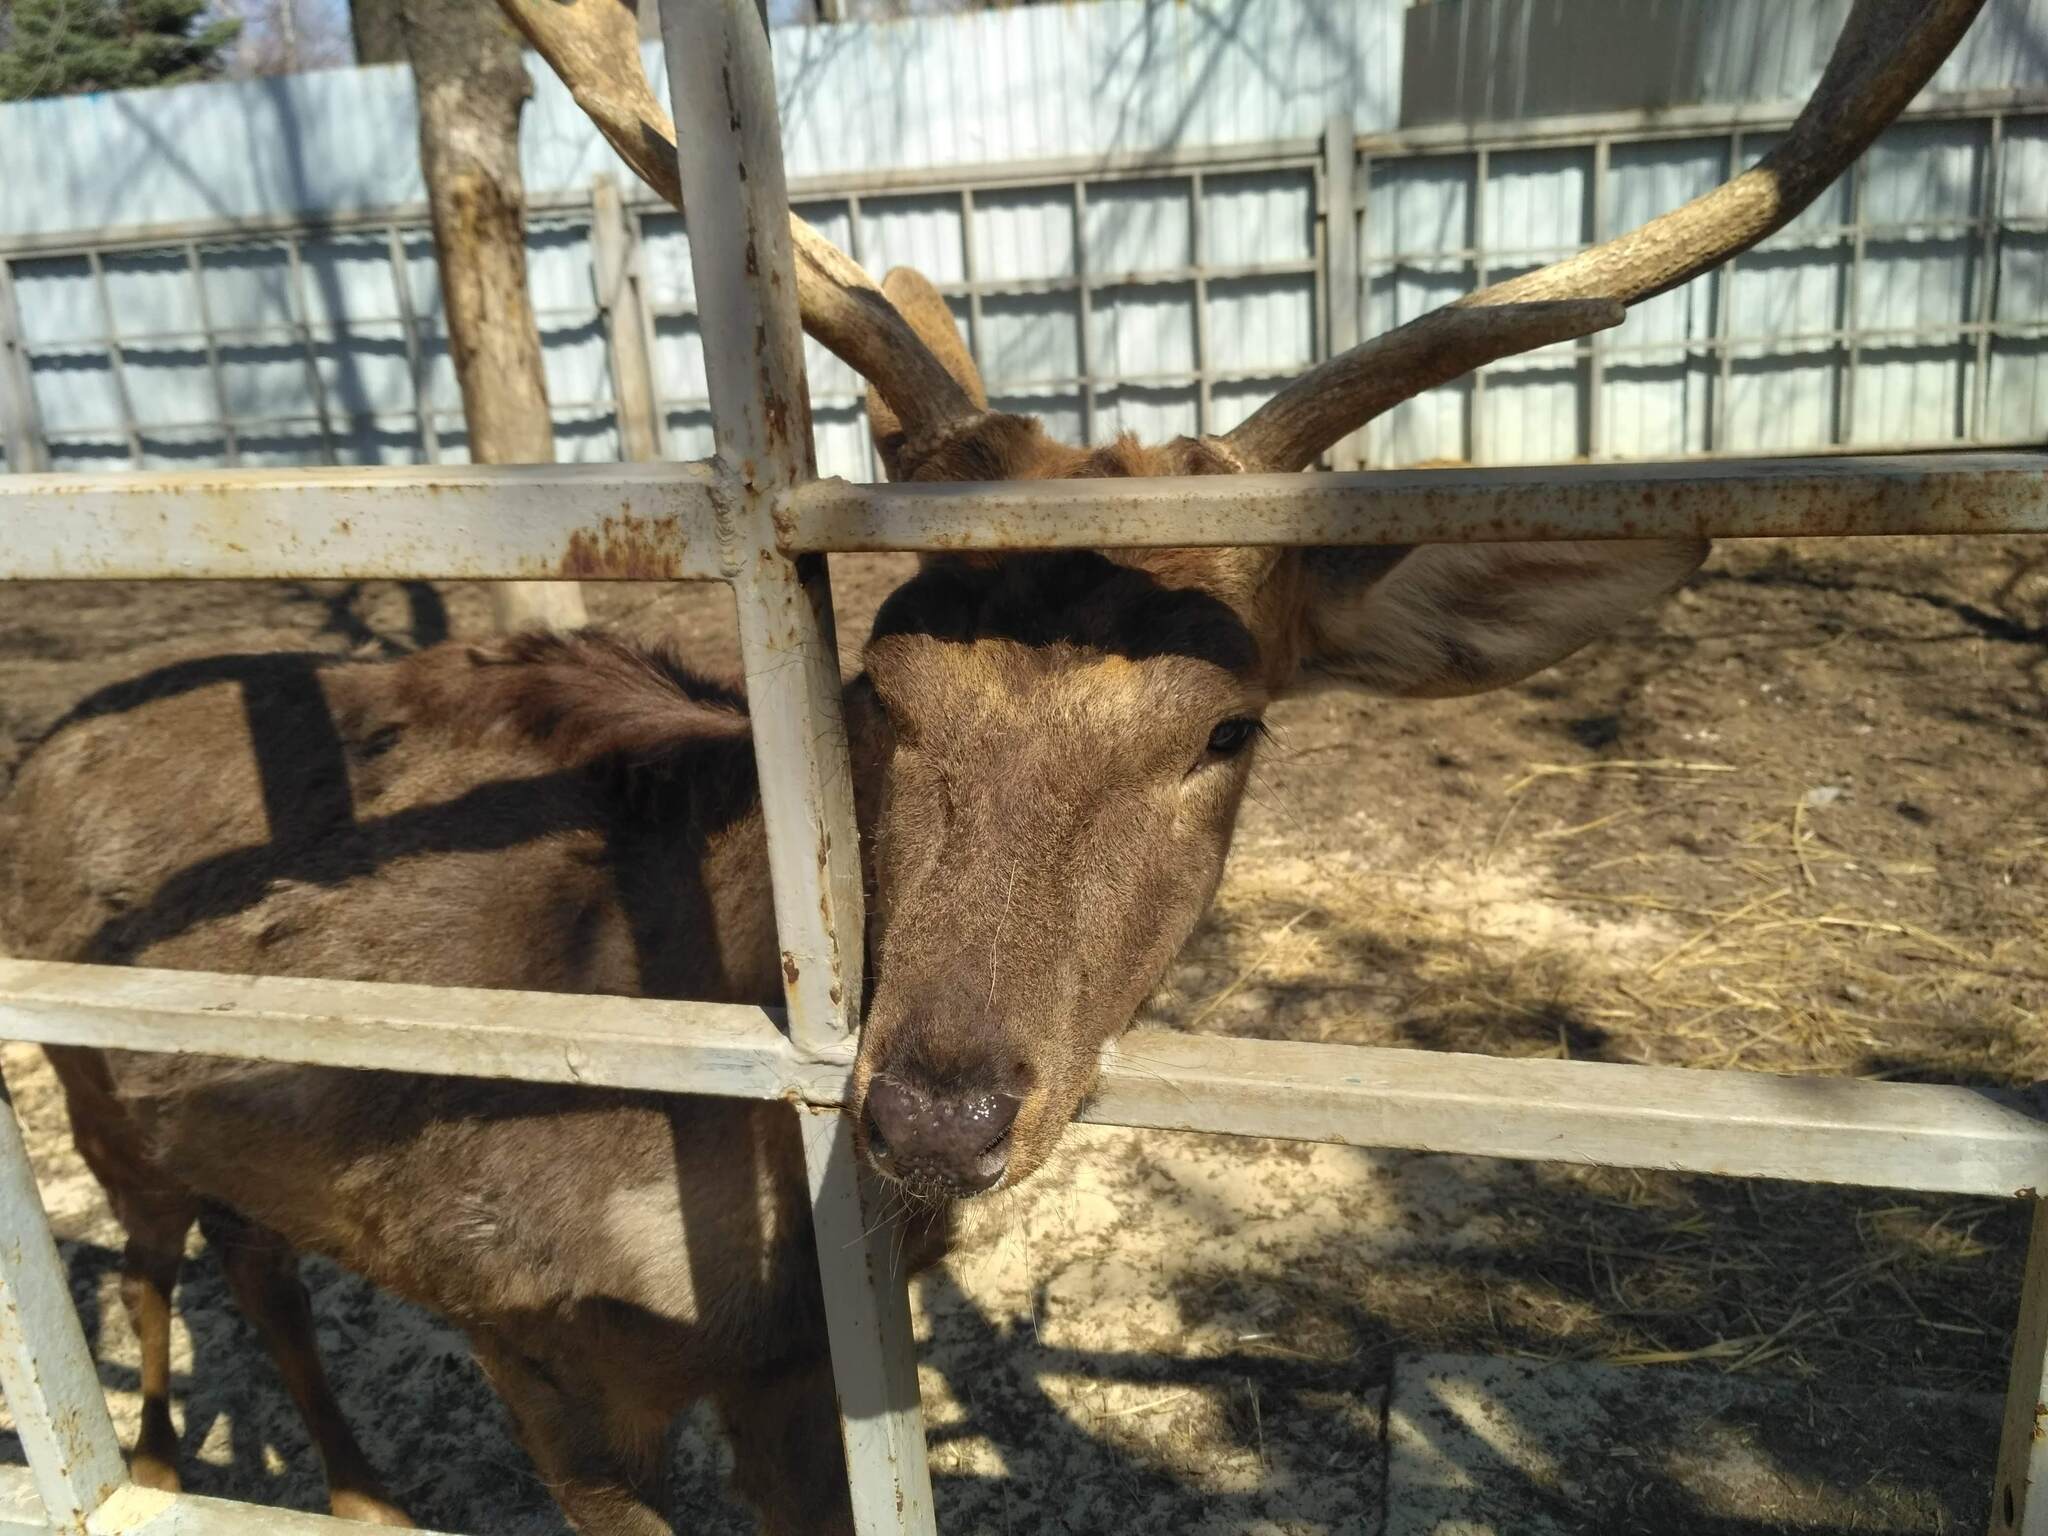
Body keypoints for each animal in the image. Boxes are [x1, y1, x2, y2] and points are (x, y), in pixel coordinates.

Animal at [0, 3, 1982, 1536]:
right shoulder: (520, 1319)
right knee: (159, 1267)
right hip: (91, 1088)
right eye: (878, 687)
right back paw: (172, 1469)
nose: (934, 1108)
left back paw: (349, 1488)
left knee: (254, 1261)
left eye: (1228, 726)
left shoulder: (796, 1372)